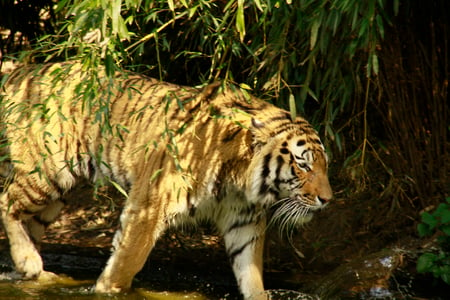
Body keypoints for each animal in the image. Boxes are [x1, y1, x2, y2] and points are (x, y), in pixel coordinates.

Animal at [0, 62, 330, 298]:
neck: (238, 181)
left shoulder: (244, 221)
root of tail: (20, 72)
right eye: (303, 165)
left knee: (27, 223)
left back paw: (32, 272)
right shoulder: (149, 205)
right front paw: (105, 290)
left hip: (56, 195)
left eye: (324, 166)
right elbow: (128, 259)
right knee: (7, 200)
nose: (327, 200)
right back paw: (29, 262)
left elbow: (251, 274)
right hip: (47, 172)